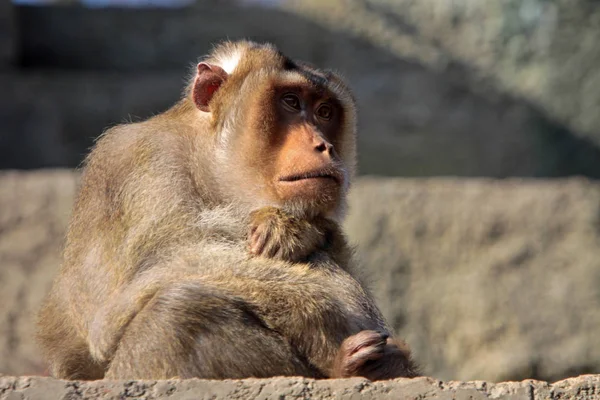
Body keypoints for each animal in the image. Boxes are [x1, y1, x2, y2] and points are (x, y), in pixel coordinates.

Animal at [36, 39, 418, 382]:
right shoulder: (139, 163)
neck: (209, 171)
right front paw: (319, 308)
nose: (323, 145)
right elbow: (114, 307)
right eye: (290, 102)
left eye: (325, 112)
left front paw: (295, 229)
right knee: (175, 317)